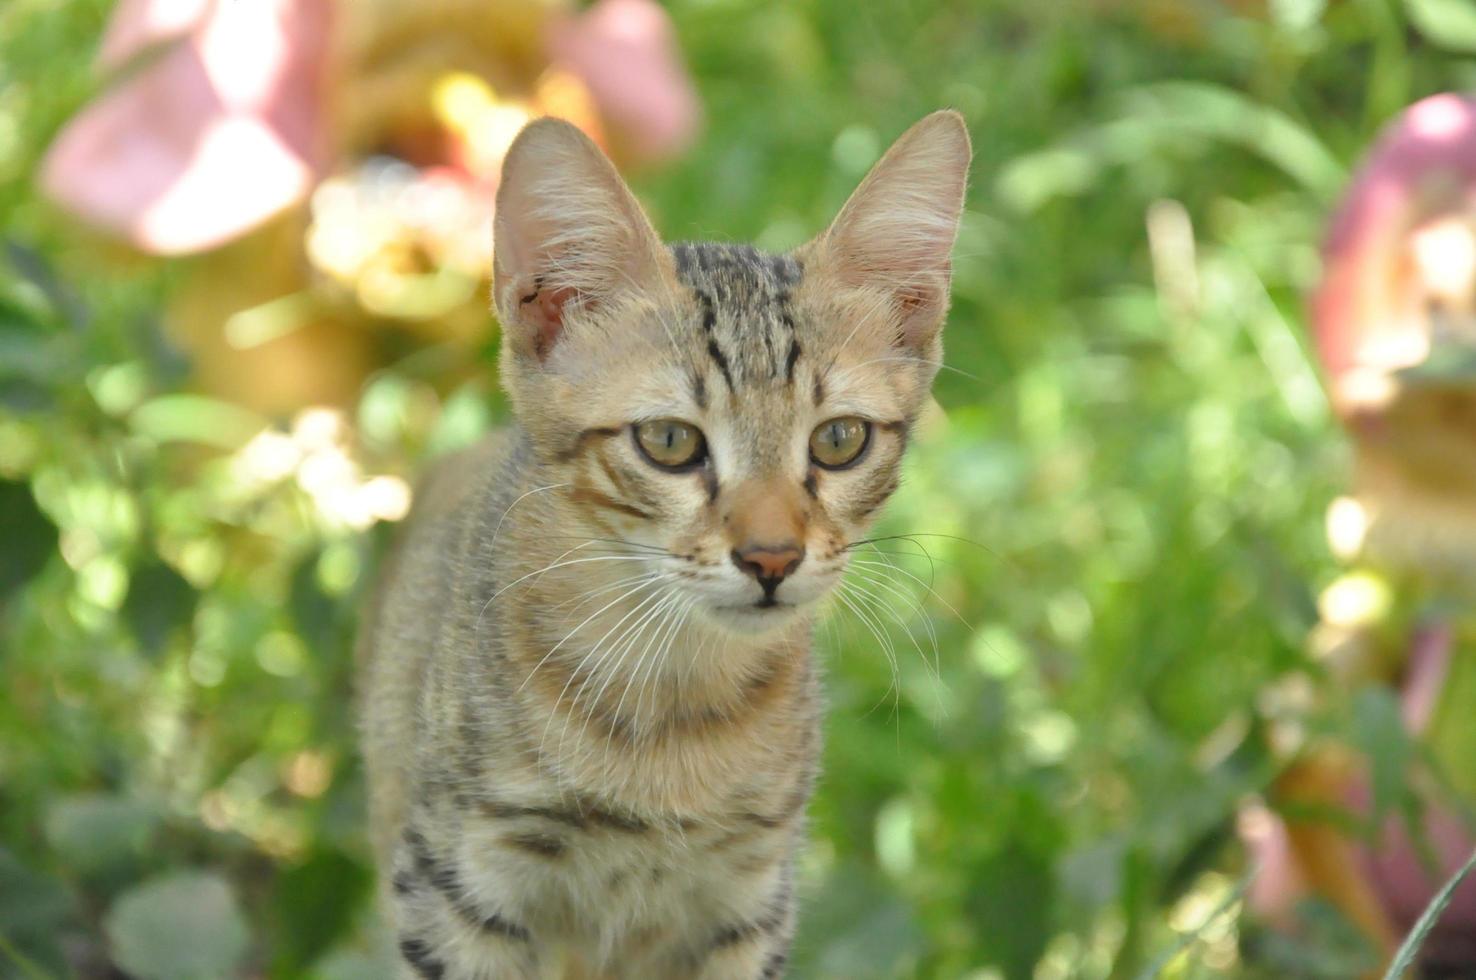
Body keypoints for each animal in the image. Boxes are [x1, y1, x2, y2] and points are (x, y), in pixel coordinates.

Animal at [360, 109, 968, 980]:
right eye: (672, 442)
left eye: (840, 440)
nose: (772, 557)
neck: (670, 711)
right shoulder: (453, 888)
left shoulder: (749, 900)